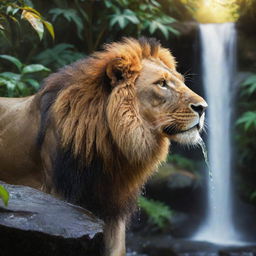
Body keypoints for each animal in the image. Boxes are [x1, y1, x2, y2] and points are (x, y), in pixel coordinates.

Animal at [0, 38, 206, 256]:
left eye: (181, 81)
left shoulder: (113, 213)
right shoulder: (59, 198)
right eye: (162, 83)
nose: (203, 107)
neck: (110, 150)